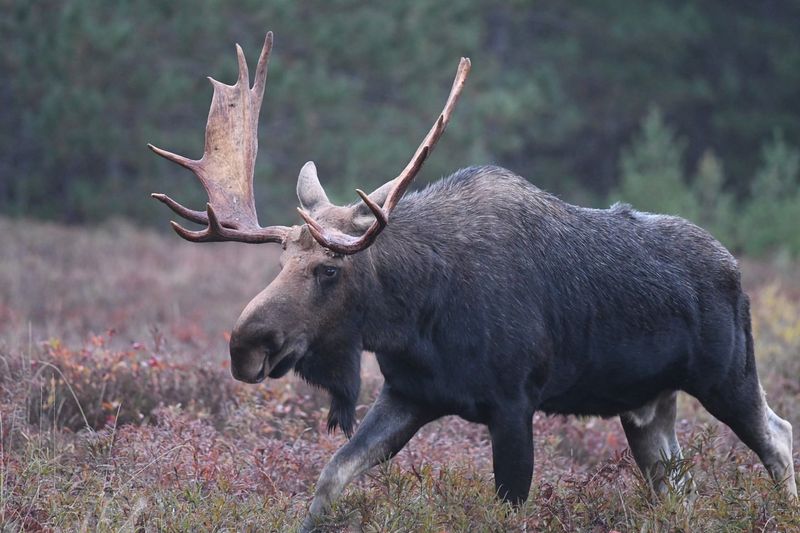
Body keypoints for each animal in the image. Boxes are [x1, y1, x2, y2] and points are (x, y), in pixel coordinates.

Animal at [148, 33, 792, 528]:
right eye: (279, 264)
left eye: (329, 268)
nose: (245, 345)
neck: (414, 317)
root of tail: (736, 270)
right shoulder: (409, 394)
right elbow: (330, 477)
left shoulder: (514, 402)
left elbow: (507, 506)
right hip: (646, 407)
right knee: (680, 488)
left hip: (727, 374)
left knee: (779, 434)